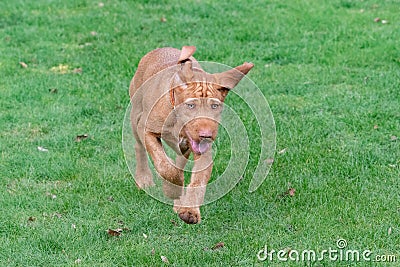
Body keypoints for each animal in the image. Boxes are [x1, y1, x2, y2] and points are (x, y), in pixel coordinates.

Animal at [130, 46, 252, 224]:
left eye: (215, 106)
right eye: (191, 105)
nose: (206, 135)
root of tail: (161, 48)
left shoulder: (203, 151)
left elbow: (197, 181)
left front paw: (189, 210)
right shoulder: (147, 131)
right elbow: (164, 166)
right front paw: (172, 189)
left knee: (179, 162)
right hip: (135, 116)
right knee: (139, 147)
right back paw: (144, 178)